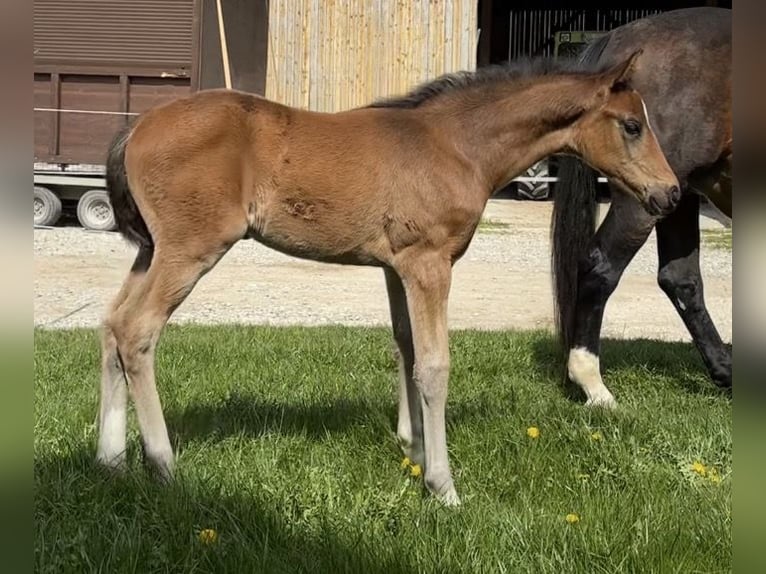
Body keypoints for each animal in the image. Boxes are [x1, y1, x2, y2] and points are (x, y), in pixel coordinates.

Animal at [96, 51, 678, 506]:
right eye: (632, 125)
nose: (670, 193)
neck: (456, 145)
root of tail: (135, 127)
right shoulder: (430, 263)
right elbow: (435, 366)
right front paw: (443, 486)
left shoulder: (397, 268)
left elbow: (406, 347)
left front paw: (413, 451)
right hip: (189, 249)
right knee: (138, 331)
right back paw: (162, 464)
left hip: (151, 251)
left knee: (111, 327)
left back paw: (110, 460)